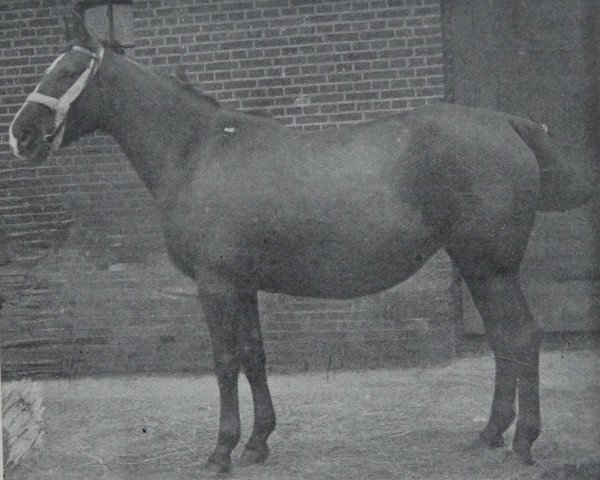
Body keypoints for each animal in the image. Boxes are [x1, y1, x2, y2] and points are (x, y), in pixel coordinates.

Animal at [8, 13, 592, 474]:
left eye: (67, 71)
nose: (21, 135)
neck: (198, 151)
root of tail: (508, 122)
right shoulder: (242, 285)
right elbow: (254, 355)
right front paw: (257, 443)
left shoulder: (216, 285)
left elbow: (225, 360)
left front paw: (220, 452)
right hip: (478, 267)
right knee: (503, 341)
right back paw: (490, 436)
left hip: (490, 266)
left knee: (522, 338)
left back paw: (522, 444)